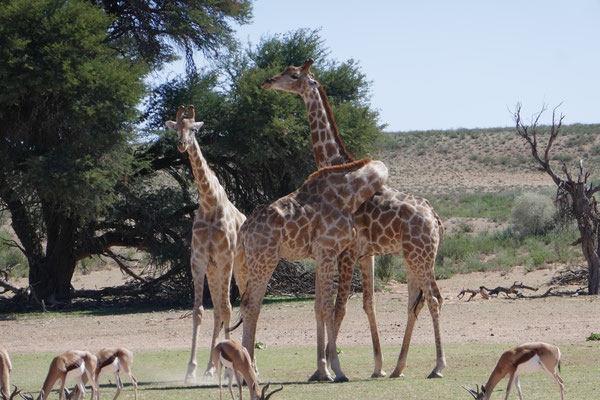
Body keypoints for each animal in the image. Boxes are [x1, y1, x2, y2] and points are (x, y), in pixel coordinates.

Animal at [164, 104, 246, 382]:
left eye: (194, 129)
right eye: (176, 128)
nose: (181, 144)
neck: (210, 204)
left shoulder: (224, 259)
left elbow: (227, 309)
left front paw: (221, 367)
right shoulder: (199, 261)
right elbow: (199, 312)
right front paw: (191, 369)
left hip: (239, 268)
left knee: (235, 307)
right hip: (214, 271)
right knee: (219, 311)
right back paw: (213, 365)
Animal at [239, 158, 390, 382]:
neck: (347, 193)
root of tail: (244, 229)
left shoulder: (319, 256)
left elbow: (318, 308)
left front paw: (324, 372)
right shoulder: (327, 251)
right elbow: (329, 308)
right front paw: (338, 370)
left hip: (248, 263)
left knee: (247, 305)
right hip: (264, 259)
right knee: (251, 306)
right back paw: (250, 373)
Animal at [260, 59, 448, 378]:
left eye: (294, 75)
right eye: (284, 71)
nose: (268, 81)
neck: (336, 162)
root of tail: (436, 219)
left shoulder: (347, 252)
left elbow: (340, 307)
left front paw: (330, 366)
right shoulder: (365, 253)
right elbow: (367, 304)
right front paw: (376, 367)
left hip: (420, 256)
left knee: (433, 299)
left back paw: (437, 366)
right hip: (417, 257)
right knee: (417, 301)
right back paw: (398, 367)